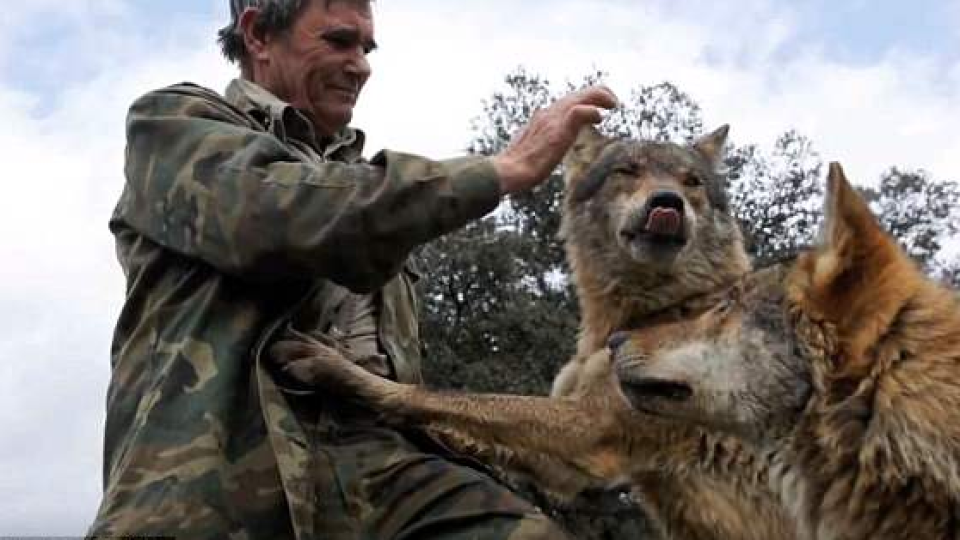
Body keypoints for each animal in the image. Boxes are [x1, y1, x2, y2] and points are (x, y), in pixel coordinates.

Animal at [274, 129, 800, 536]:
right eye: (627, 171)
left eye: (691, 183)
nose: (667, 202)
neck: (656, 310)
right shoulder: (572, 466)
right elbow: (462, 416)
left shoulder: (591, 429)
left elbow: (437, 394)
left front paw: (343, 373)